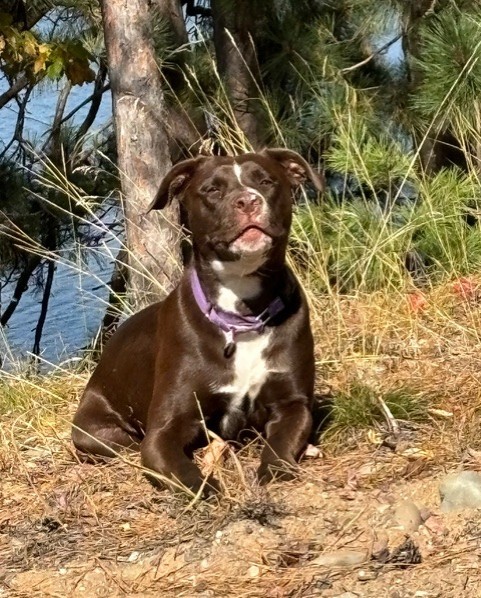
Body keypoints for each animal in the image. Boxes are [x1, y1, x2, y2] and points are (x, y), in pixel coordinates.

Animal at [71, 148, 324, 494]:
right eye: (212, 189)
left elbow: (280, 448)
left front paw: (273, 471)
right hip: (96, 432)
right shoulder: (164, 430)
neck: (239, 317)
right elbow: (183, 472)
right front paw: (210, 490)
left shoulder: (293, 404)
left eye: (266, 181)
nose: (248, 200)